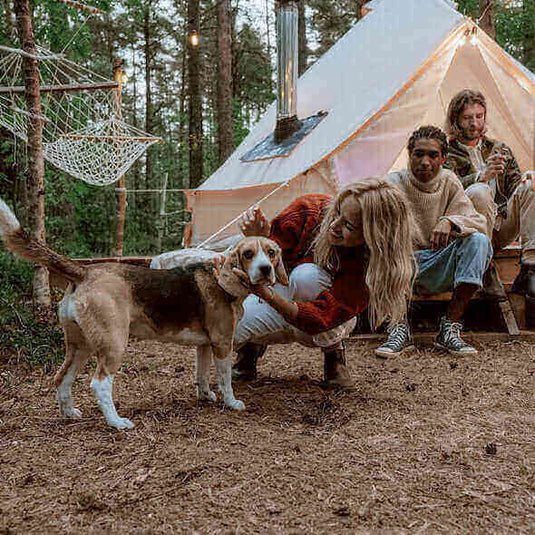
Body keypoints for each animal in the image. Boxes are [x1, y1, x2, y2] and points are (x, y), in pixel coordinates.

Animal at [0, 201, 286, 432]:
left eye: (271, 253)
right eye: (248, 254)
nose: (265, 269)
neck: (221, 278)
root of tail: (85, 271)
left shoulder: (205, 345)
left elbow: (202, 374)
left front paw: (205, 396)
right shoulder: (222, 344)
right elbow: (225, 379)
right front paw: (231, 402)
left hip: (80, 346)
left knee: (62, 378)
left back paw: (68, 413)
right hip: (113, 344)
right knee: (99, 383)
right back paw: (116, 422)